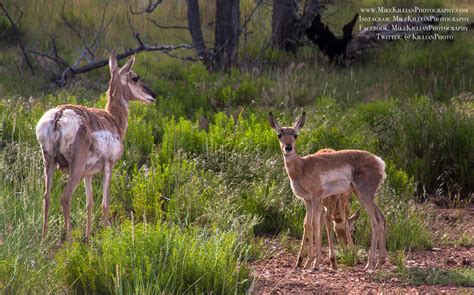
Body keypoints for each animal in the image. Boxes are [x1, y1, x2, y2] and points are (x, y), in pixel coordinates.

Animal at [37, 53, 156, 243]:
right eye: (135, 78)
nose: (153, 95)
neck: (112, 119)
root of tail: (59, 115)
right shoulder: (109, 165)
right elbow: (105, 203)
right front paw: (107, 237)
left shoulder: (88, 175)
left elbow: (89, 203)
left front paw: (87, 237)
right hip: (75, 169)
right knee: (65, 197)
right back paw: (70, 241)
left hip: (49, 163)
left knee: (46, 197)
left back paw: (43, 239)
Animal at [270, 111, 386, 272]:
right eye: (279, 134)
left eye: (295, 135)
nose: (288, 148)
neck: (303, 166)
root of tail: (379, 161)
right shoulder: (308, 201)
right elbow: (309, 225)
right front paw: (307, 263)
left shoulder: (317, 199)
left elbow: (316, 224)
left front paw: (315, 263)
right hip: (361, 195)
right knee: (381, 217)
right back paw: (380, 262)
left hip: (364, 195)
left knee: (374, 220)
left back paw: (369, 264)